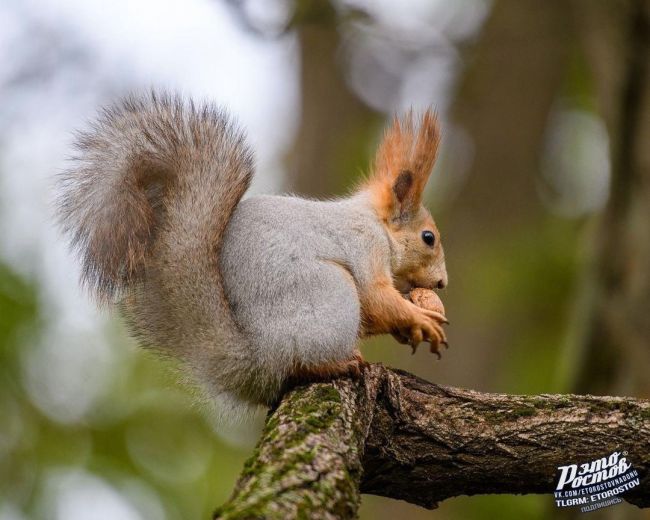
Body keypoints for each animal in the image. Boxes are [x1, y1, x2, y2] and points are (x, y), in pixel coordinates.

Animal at [57, 91, 446, 412]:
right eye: (428, 237)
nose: (442, 283)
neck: (376, 223)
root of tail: (256, 359)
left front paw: (410, 327)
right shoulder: (365, 246)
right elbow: (376, 296)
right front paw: (421, 319)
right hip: (328, 295)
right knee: (298, 365)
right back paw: (334, 363)